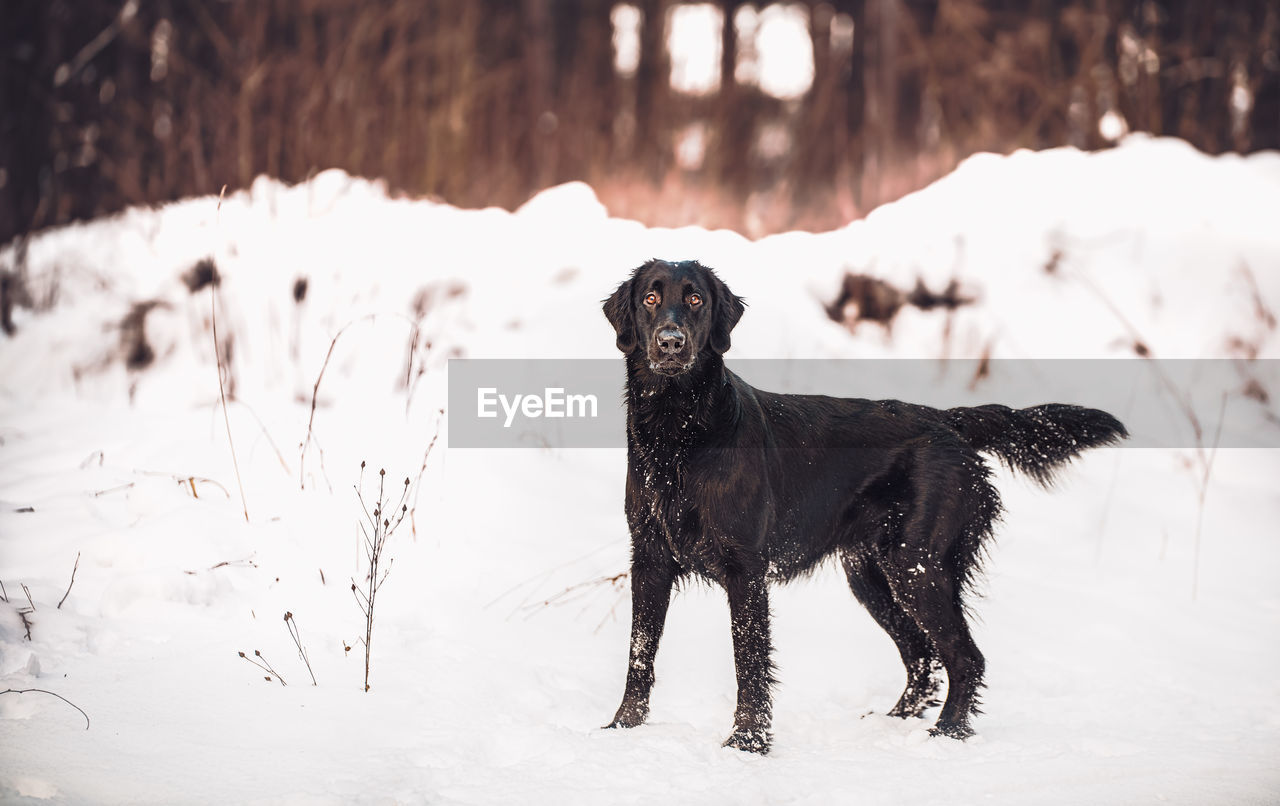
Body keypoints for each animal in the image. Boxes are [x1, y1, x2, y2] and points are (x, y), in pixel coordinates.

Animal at [596, 260, 1121, 757]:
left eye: (696, 299)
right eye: (650, 298)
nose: (671, 342)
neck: (679, 432)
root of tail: (947, 421)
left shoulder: (746, 570)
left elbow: (749, 662)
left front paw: (747, 743)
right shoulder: (649, 560)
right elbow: (639, 652)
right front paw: (623, 727)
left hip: (916, 565)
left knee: (964, 657)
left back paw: (947, 733)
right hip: (871, 574)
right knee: (922, 657)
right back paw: (896, 720)